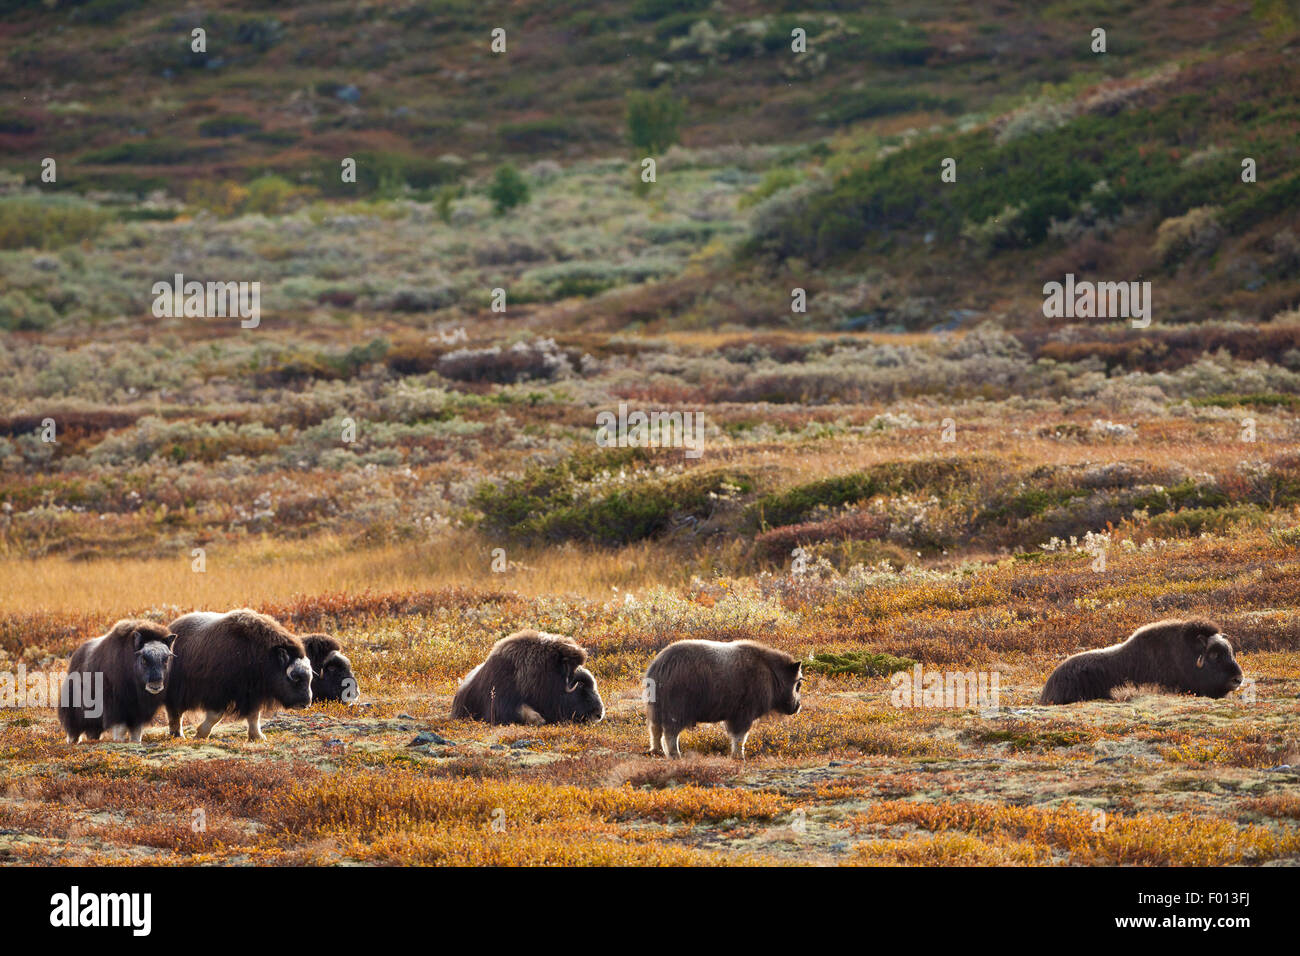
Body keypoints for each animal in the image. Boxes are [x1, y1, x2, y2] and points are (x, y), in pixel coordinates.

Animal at [56, 621, 175, 749]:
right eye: (143, 659)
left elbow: (136, 731)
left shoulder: (138, 712)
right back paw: (73, 742)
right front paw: (119, 741)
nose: (155, 686)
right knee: (73, 730)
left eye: (165, 659)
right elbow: (120, 728)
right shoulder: (116, 707)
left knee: (93, 732)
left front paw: (135, 742)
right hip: (74, 710)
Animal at [163, 608, 313, 743]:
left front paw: (257, 737)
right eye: (295, 677)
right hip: (177, 690)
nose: (306, 703)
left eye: (309, 677)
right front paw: (200, 734)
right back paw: (178, 735)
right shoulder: (218, 693)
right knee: (175, 712)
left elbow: (254, 716)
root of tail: (172, 627)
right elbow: (216, 715)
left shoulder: (252, 695)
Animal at [642, 634, 795, 764]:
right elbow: (740, 737)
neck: (771, 673)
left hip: (656, 707)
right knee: (670, 733)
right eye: (798, 682)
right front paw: (739, 757)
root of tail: (659, 665)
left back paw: (657, 752)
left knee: (655, 729)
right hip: (676, 709)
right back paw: (675, 755)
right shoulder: (743, 714)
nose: (796, 707)